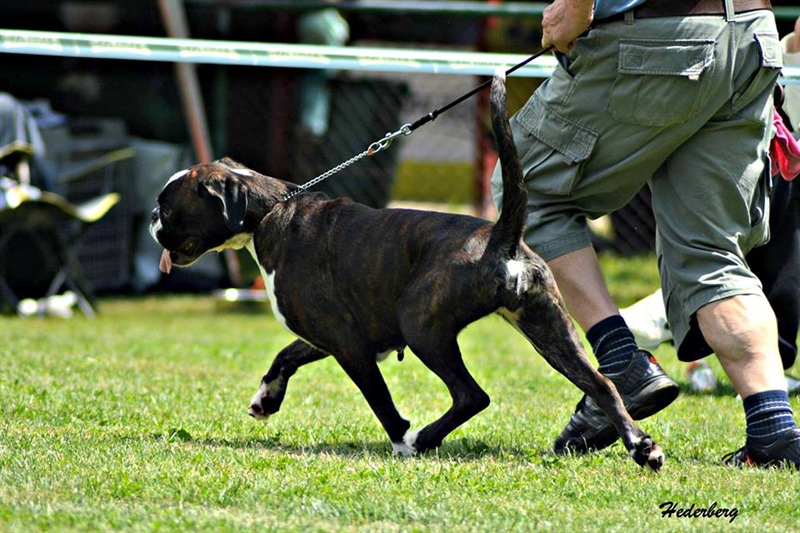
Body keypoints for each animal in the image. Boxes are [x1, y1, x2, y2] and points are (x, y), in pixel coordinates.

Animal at [150, 71, 664, 470]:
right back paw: (642, 448)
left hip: (423, 325)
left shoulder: (349, 343)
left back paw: (421, 441)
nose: (152, 219)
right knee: (602, 384)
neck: (270, 212)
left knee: (471, 395)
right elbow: (286, 355)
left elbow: (378, 398)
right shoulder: (333, 333)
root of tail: (501, 235)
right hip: (549, 329)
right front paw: (266, 398)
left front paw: (400, 438)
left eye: (168, 207)